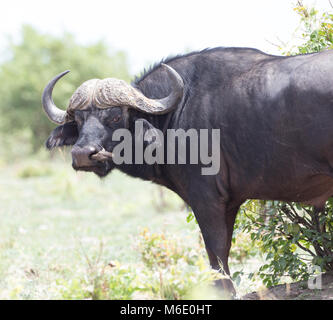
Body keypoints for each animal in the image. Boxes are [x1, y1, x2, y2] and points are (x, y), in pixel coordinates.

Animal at [42, 47, 332, 296]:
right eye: (79, 120)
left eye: (114, 116)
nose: (83, 155)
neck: (174, 118)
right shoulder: (230, 202)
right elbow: (223, 249)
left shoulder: (206, 200)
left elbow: (215, 250)